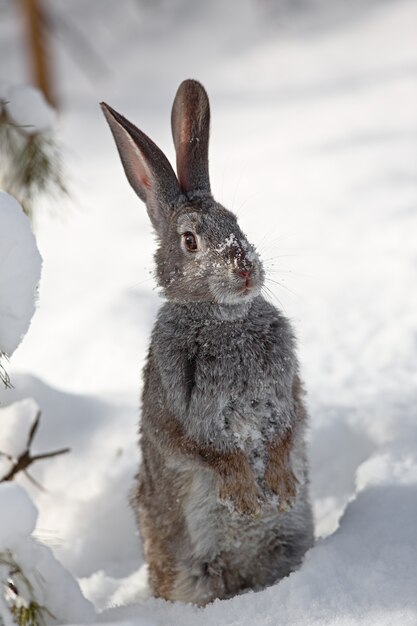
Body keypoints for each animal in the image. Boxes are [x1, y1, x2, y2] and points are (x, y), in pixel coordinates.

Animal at [100, 80, 312, 604]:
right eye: (191, 241)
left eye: (236, 222)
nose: (245, 268)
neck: (224, 321)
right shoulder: (176, 415)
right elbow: (209, 452)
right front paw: (247, 498)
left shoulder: (289, 392)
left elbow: (287, 431)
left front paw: (280, 486)